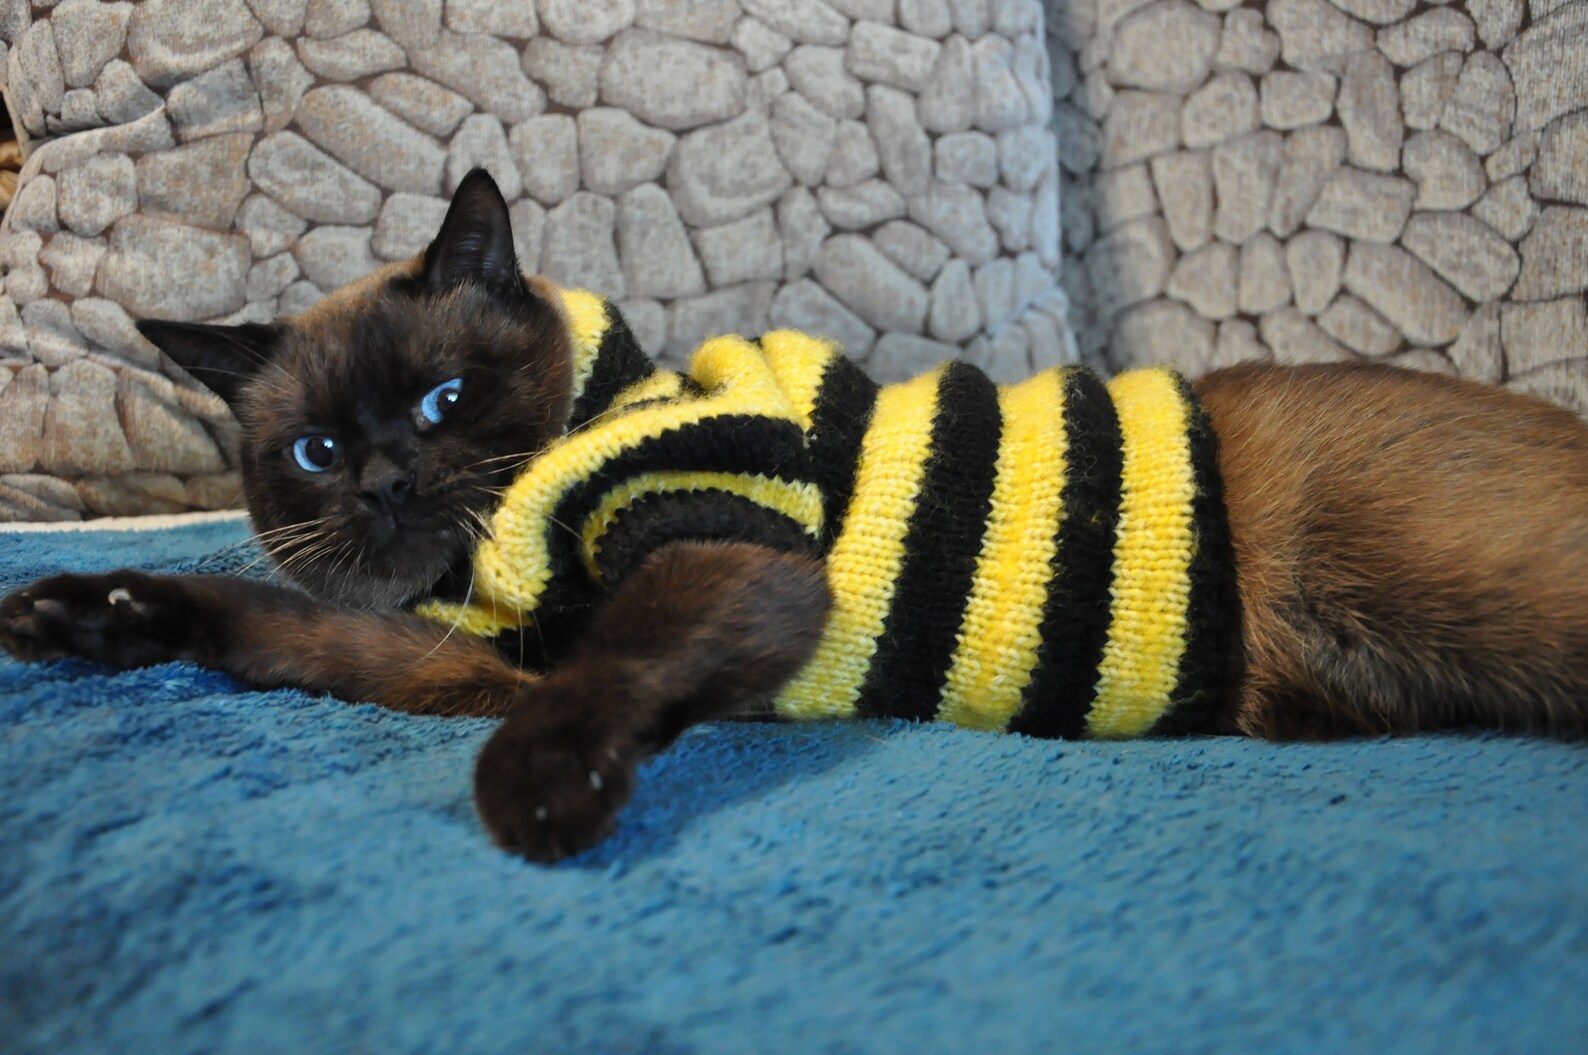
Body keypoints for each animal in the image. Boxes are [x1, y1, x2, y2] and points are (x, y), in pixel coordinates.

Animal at [4, 169, 1587, 863]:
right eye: (319, 449)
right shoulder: (471, 660)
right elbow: (270, 624)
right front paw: (94, 617)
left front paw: (542, 799)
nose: (393, 478)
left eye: (448, 400)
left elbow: (597, 680)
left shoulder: (718, 569)